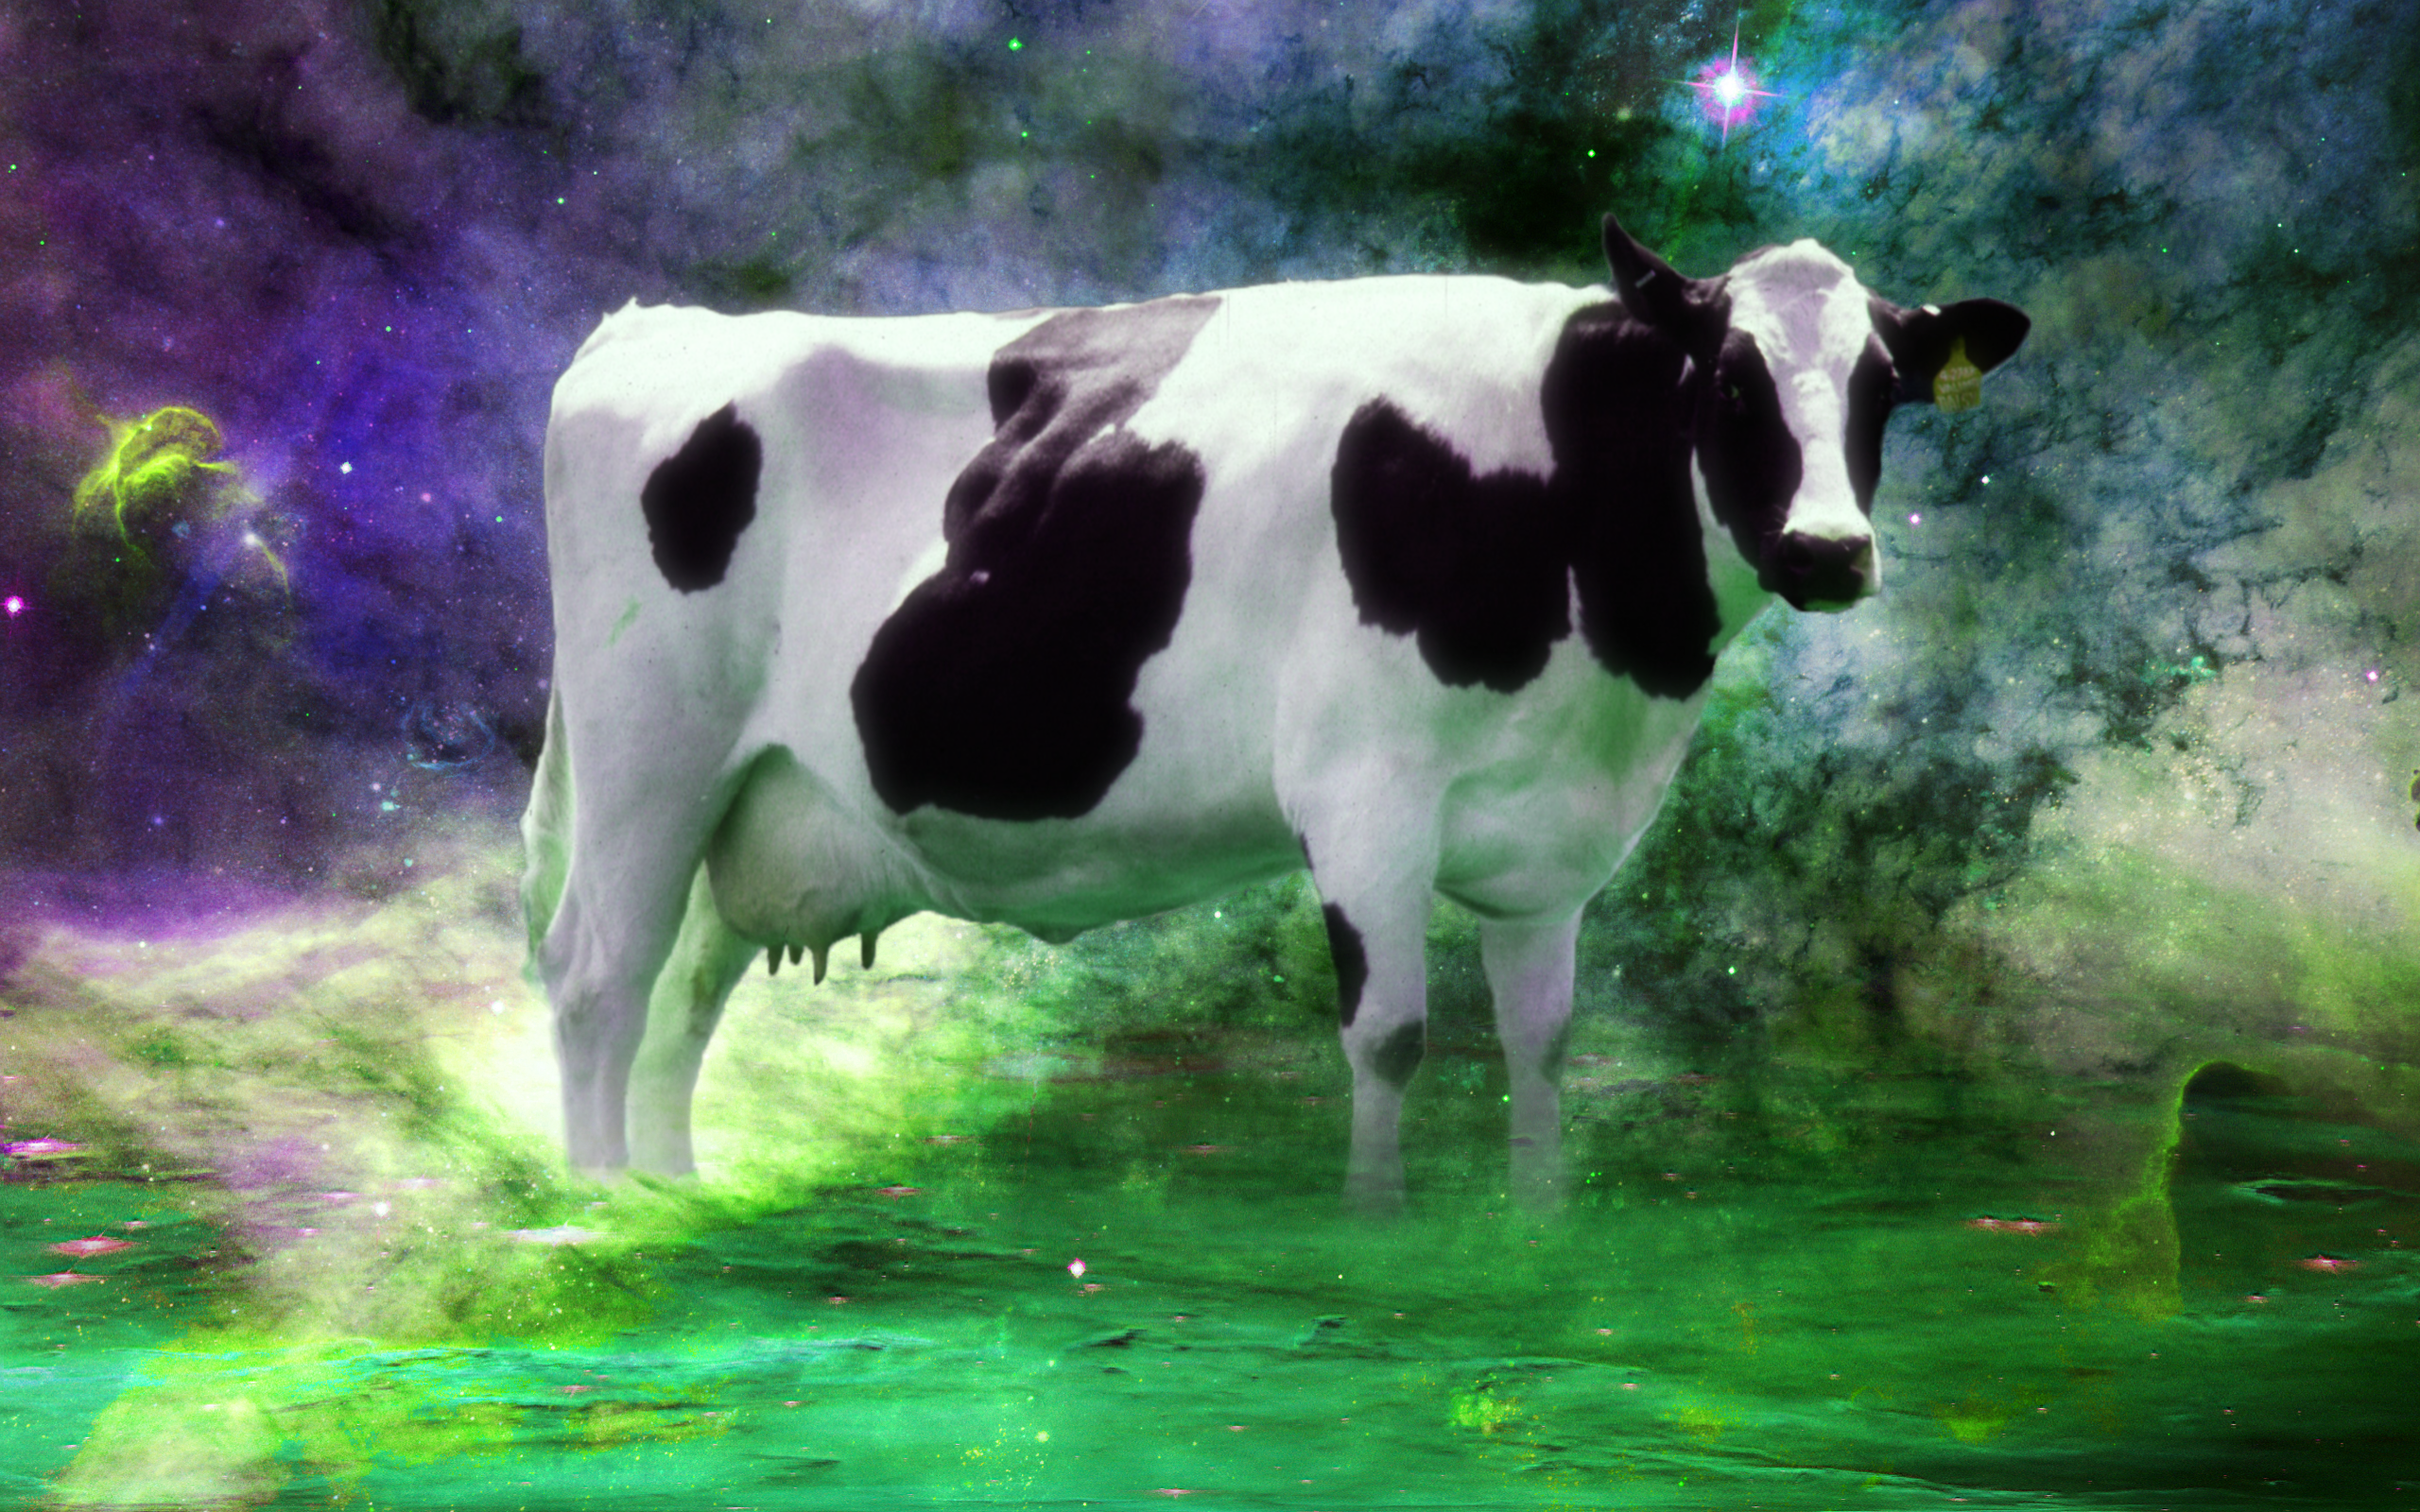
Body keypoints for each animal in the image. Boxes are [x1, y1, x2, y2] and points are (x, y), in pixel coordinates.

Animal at [521, 213, 2028, 1209]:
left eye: (1885, 387)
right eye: (1727, 378)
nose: (1829, 550)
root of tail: (652, 325)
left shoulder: (1550, 848)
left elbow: (1541, 1042)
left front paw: (1539, 1238)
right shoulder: (1364, 798)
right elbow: (1393, 1037)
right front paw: (1377, 1241)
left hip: (754, 800)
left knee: (685, 994)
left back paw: (679, 1203)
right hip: (647, 755)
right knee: (600, 979)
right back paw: (600, 1221)